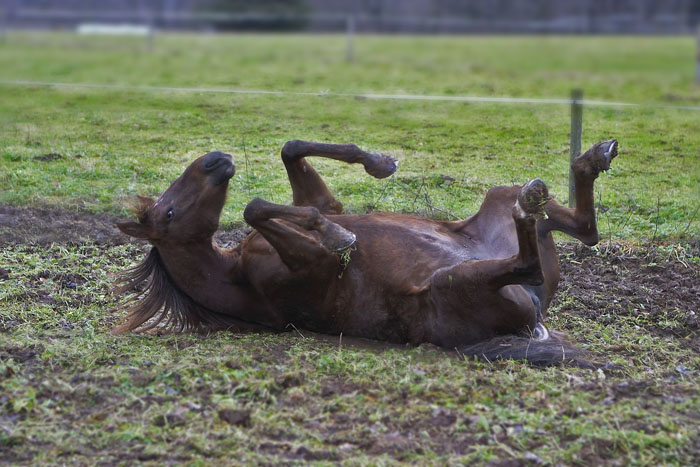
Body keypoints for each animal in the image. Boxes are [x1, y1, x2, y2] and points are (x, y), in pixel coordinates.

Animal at [115, 139, 616, 366]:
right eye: (170, 212)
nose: (214, 160)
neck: (234, 275)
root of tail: (536, 318)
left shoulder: (321, 203)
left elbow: (291, 153)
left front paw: (379, 164)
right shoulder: (314, 264)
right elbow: (256, 207)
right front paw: (338, 236)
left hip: (496, 199)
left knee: (585, 230)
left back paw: (589, 160)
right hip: (455, 281)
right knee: (529, 260)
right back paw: (535, 200)